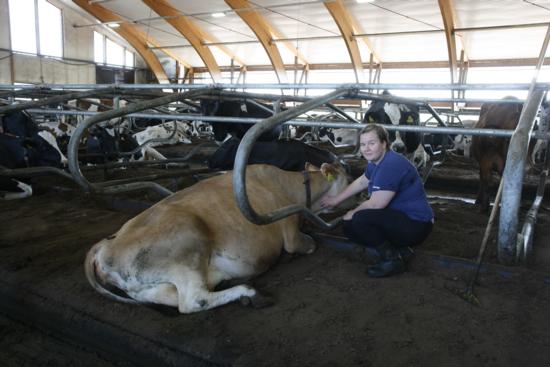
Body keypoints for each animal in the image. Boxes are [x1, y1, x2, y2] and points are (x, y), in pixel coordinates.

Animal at [84, 163, 352, 314]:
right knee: (193, 301)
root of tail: (103, 244)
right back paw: (250, 294)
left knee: (174, 298)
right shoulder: (291, 233)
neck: (290, 187)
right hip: (188, 242)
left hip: (144, 288)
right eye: (348, 178)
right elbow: (310, 245)